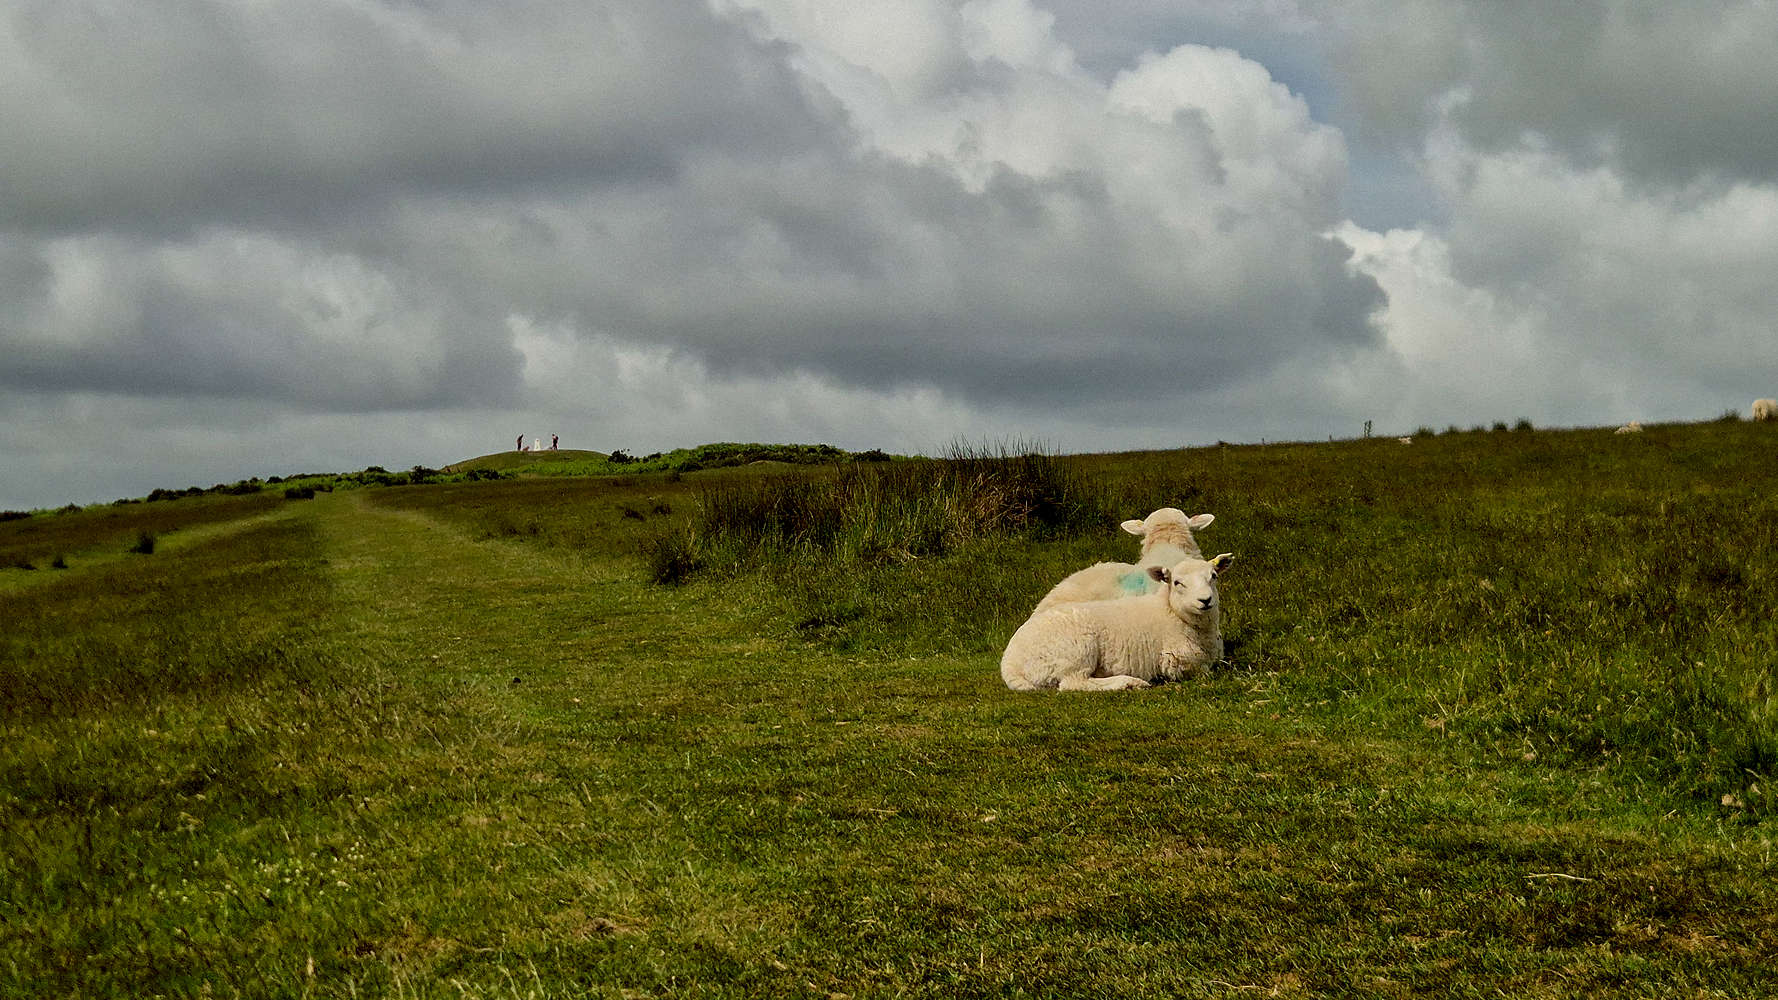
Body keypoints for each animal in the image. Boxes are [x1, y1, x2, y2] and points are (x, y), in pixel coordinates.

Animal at [1002, 554, 1234, 691]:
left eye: (1214, 576)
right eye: (1177, 582)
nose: (1205, 600)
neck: (1171, 612)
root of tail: (1009, 663)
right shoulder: (1175, 663)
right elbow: (1206, 671)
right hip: (1075, 652)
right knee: (1073, 682)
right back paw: (1130, 682)